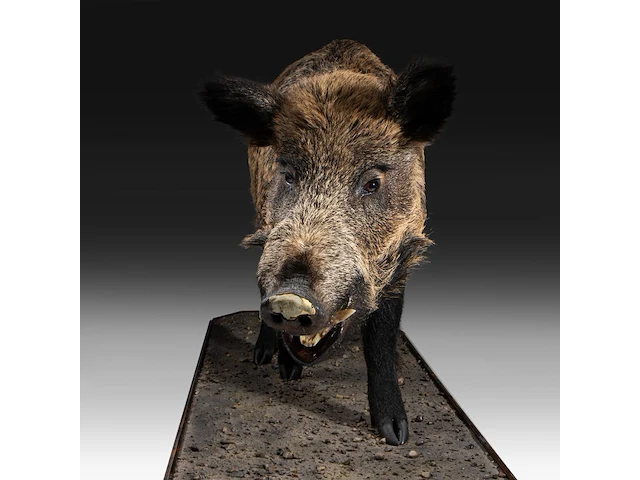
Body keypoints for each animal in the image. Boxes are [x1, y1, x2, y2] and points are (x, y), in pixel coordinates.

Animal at [199, 39, 455, 445]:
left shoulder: (401, 257)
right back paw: (261, 358)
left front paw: (396, 435)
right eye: (288, 175)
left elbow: (382, 339)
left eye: (372, 183)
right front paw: (287, 373)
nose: (291, 297)